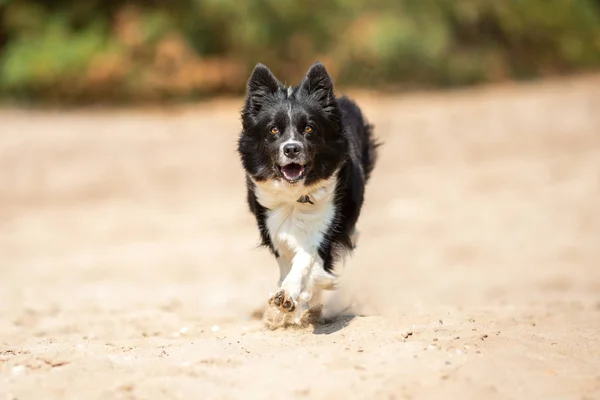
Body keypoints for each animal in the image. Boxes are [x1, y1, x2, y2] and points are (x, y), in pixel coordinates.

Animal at [237, 61, 378, 320]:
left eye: (309, 129)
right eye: (273, 130)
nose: (291, 149)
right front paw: (285, 306)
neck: (295, 197)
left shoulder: (326, 225)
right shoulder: (272, 226)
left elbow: (306, 261)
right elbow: (287, 262)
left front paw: (288, 296)